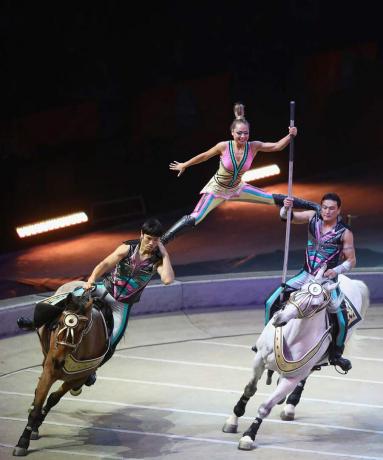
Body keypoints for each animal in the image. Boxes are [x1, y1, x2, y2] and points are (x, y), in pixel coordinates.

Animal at [13, 282, 109, 454]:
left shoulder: (78, 377)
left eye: (81, 329)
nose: (58, 361)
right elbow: (38, 405)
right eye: (58, 324)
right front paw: (23, 441)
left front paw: (37, 424)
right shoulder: (49, 371)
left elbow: (53, 398)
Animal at [224, 266, 370, 450]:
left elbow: (265, 407)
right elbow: (250, 389)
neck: (293, 337)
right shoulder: (259, 360)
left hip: (312, 364)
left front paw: (249, 436)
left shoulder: (293, 378)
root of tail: (351, 281)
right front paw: (233, 420)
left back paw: (289, 407)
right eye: (296, 293)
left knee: (304, 379)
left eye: (315, 304)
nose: (279, 318)